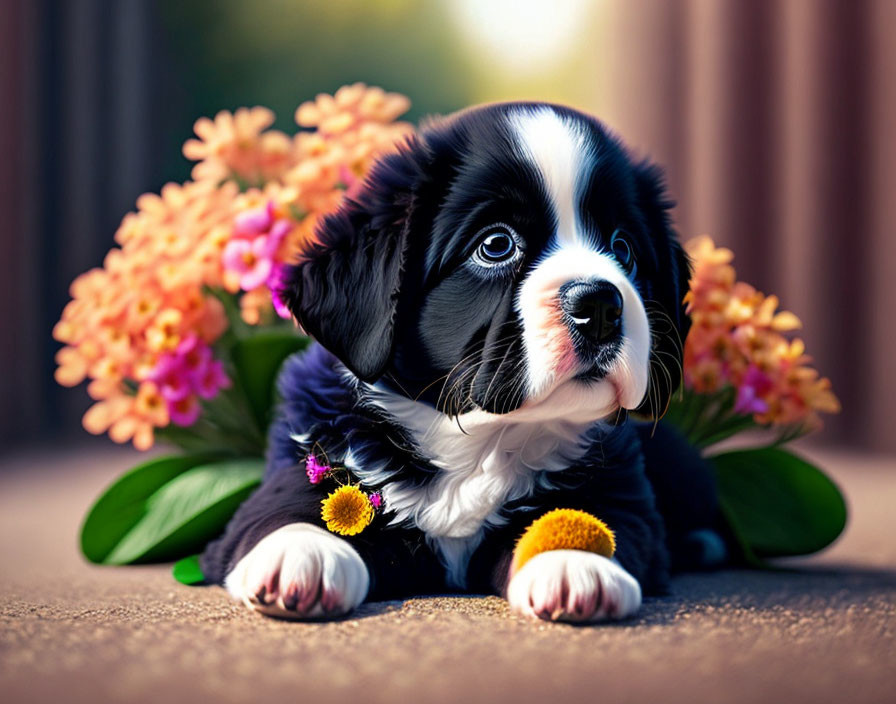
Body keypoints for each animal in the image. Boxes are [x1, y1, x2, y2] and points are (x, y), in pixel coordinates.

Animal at [201, 103, 720, 620]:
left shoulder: (617, 488)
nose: (601, 306)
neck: (478, 440)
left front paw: (574, 560)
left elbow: (587, 516)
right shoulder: (311, 454)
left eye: (623, 248)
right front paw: (301, 556)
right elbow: (286, 514)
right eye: (496, 245)